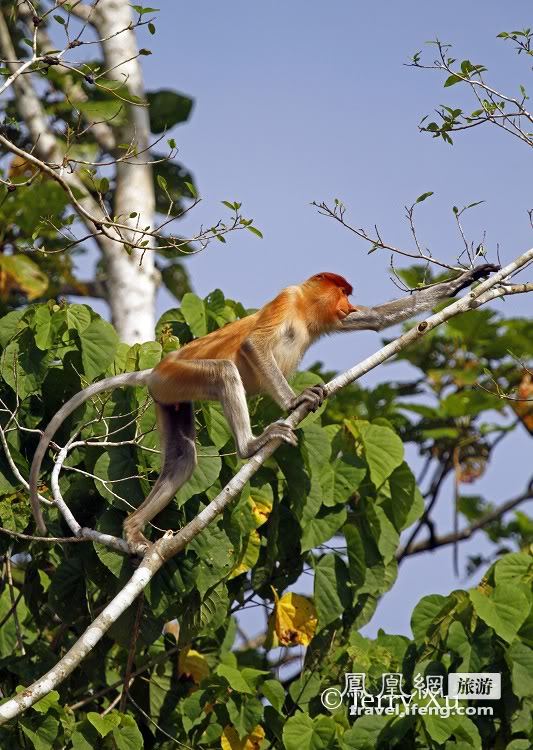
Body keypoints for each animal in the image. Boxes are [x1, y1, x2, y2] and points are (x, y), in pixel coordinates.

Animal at [29, 264, 496, 552]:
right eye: (342, 291)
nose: (346, 304)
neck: (306, 312)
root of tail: (155, 370)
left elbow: (378, 319)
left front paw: (465, 281)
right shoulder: (286, 300)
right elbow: (255, 345)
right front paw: (296, 401)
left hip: (169, 396)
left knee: (183, 458)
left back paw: (133, 530)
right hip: (179, 373)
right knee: (223, 373)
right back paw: (251, 447)